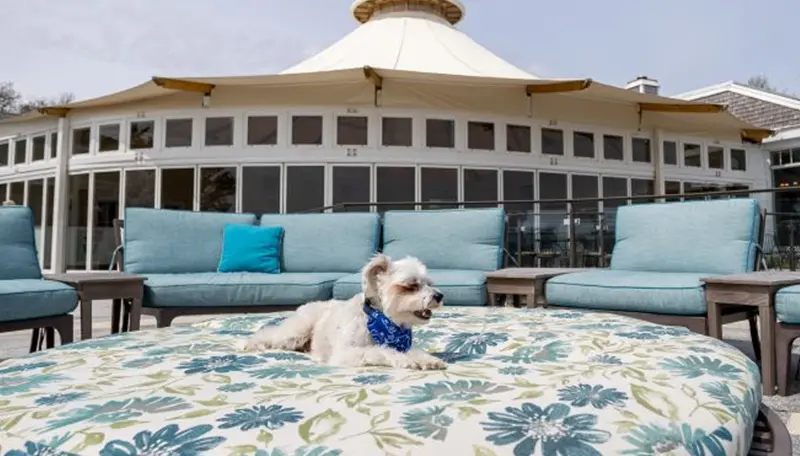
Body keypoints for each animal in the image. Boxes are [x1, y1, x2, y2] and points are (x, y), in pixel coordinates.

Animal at [245, 255, 444, 368]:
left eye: (429, 283)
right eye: (412, 285)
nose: (440, 295)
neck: (384, 323)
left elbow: (414, 351)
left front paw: (427, 360)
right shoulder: (345, 353)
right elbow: (382, 351)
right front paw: (410, 361)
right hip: (295, 332)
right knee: (269, 333)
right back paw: (252, 344)